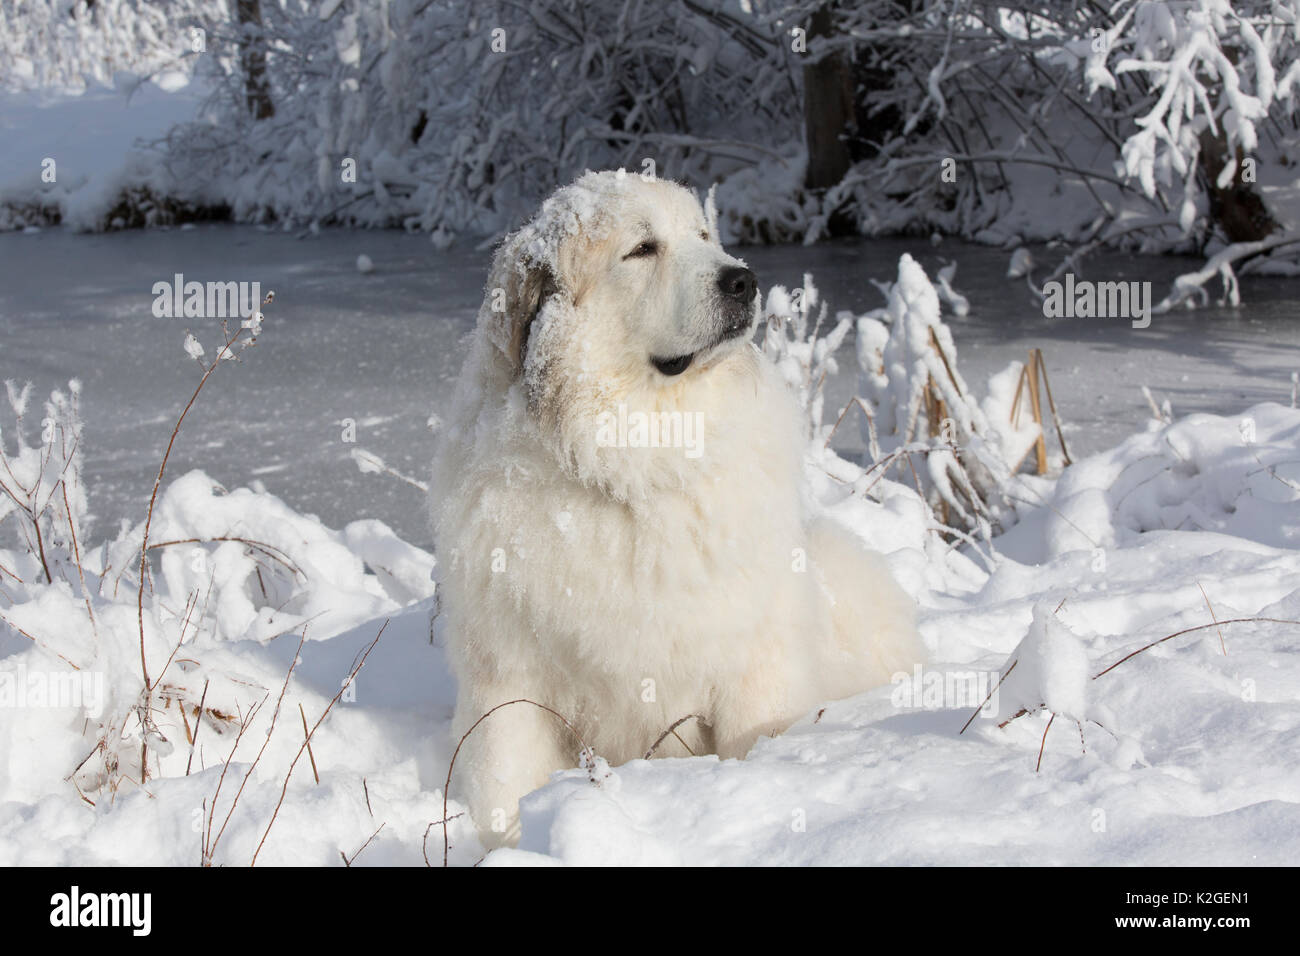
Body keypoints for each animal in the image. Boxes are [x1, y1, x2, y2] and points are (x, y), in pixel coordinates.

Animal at [431, 170, 920, 842]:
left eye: (703, 236)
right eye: (643, 249)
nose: (743, 280)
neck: (634, 466)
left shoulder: (754, 666)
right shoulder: (507, 679)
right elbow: (502, 784)